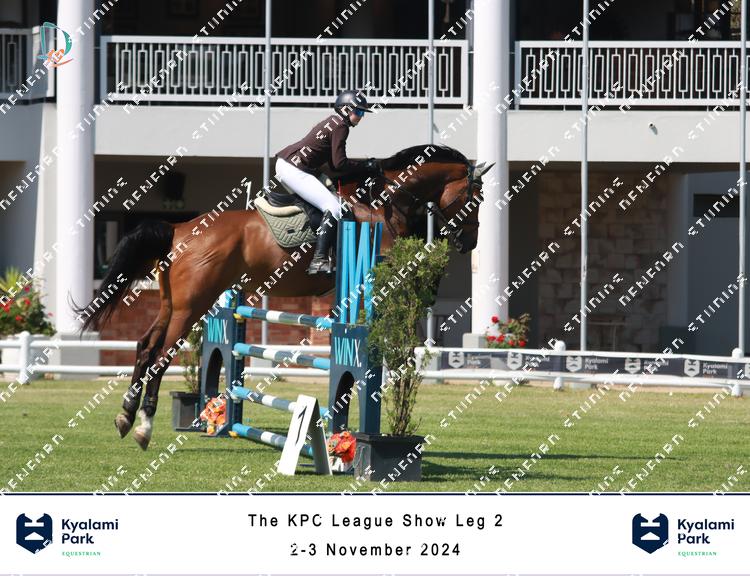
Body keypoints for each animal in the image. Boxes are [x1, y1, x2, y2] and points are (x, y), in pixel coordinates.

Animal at [76, 145, 494, 449]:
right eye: (476, 198)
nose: (470, 242)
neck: (385, 201)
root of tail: (179, 229)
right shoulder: (386, 262)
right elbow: (423, 275)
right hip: (191, 306)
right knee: (161, 356)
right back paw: (144, 427)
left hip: (171, 304)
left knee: (146, 346)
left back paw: (126, 415)